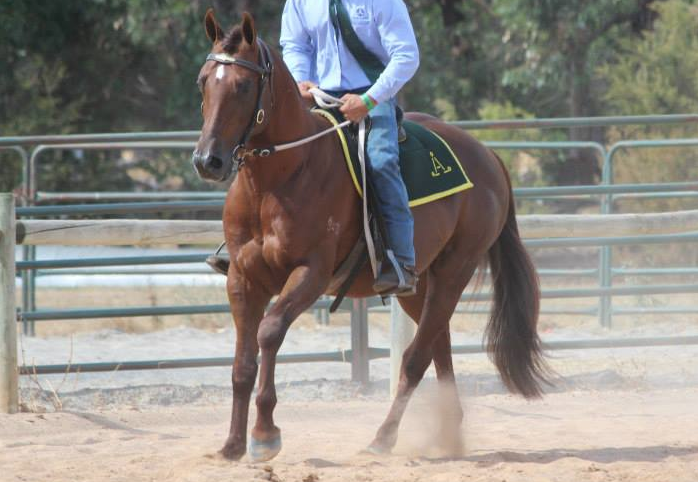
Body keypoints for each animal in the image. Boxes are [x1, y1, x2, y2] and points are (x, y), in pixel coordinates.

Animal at [192, 10, 548, 462]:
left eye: (242, 86)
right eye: (203, 81)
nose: (208, 160)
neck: (282, 177)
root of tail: (487, 156)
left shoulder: (311, 274)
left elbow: (269, 332)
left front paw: (265, 434)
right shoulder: (242, 278)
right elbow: (242, 364)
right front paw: (233, 445)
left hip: (454, 272)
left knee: (416, 358)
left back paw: (383, 438)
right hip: (417, 285)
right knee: (438, 346)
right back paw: (448, 434)